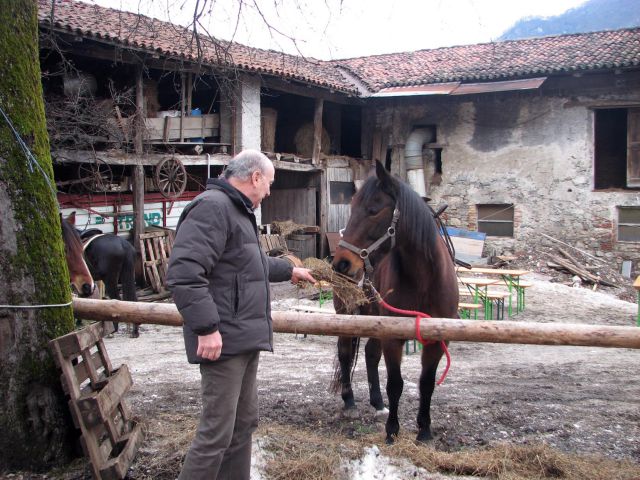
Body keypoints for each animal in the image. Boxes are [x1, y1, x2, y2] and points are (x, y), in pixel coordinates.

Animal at [330, 163, 460, 444]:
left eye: (373, 210)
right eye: (351, 208)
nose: (342, 263)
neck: (423, 278)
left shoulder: (436, 338)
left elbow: (426, 383)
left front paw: (424, 430)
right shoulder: (392, 336)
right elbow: (396, 384)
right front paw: (392, 430)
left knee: (370, 354)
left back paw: (378, 402)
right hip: (348, 316)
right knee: (345, 353)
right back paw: (350, 402)